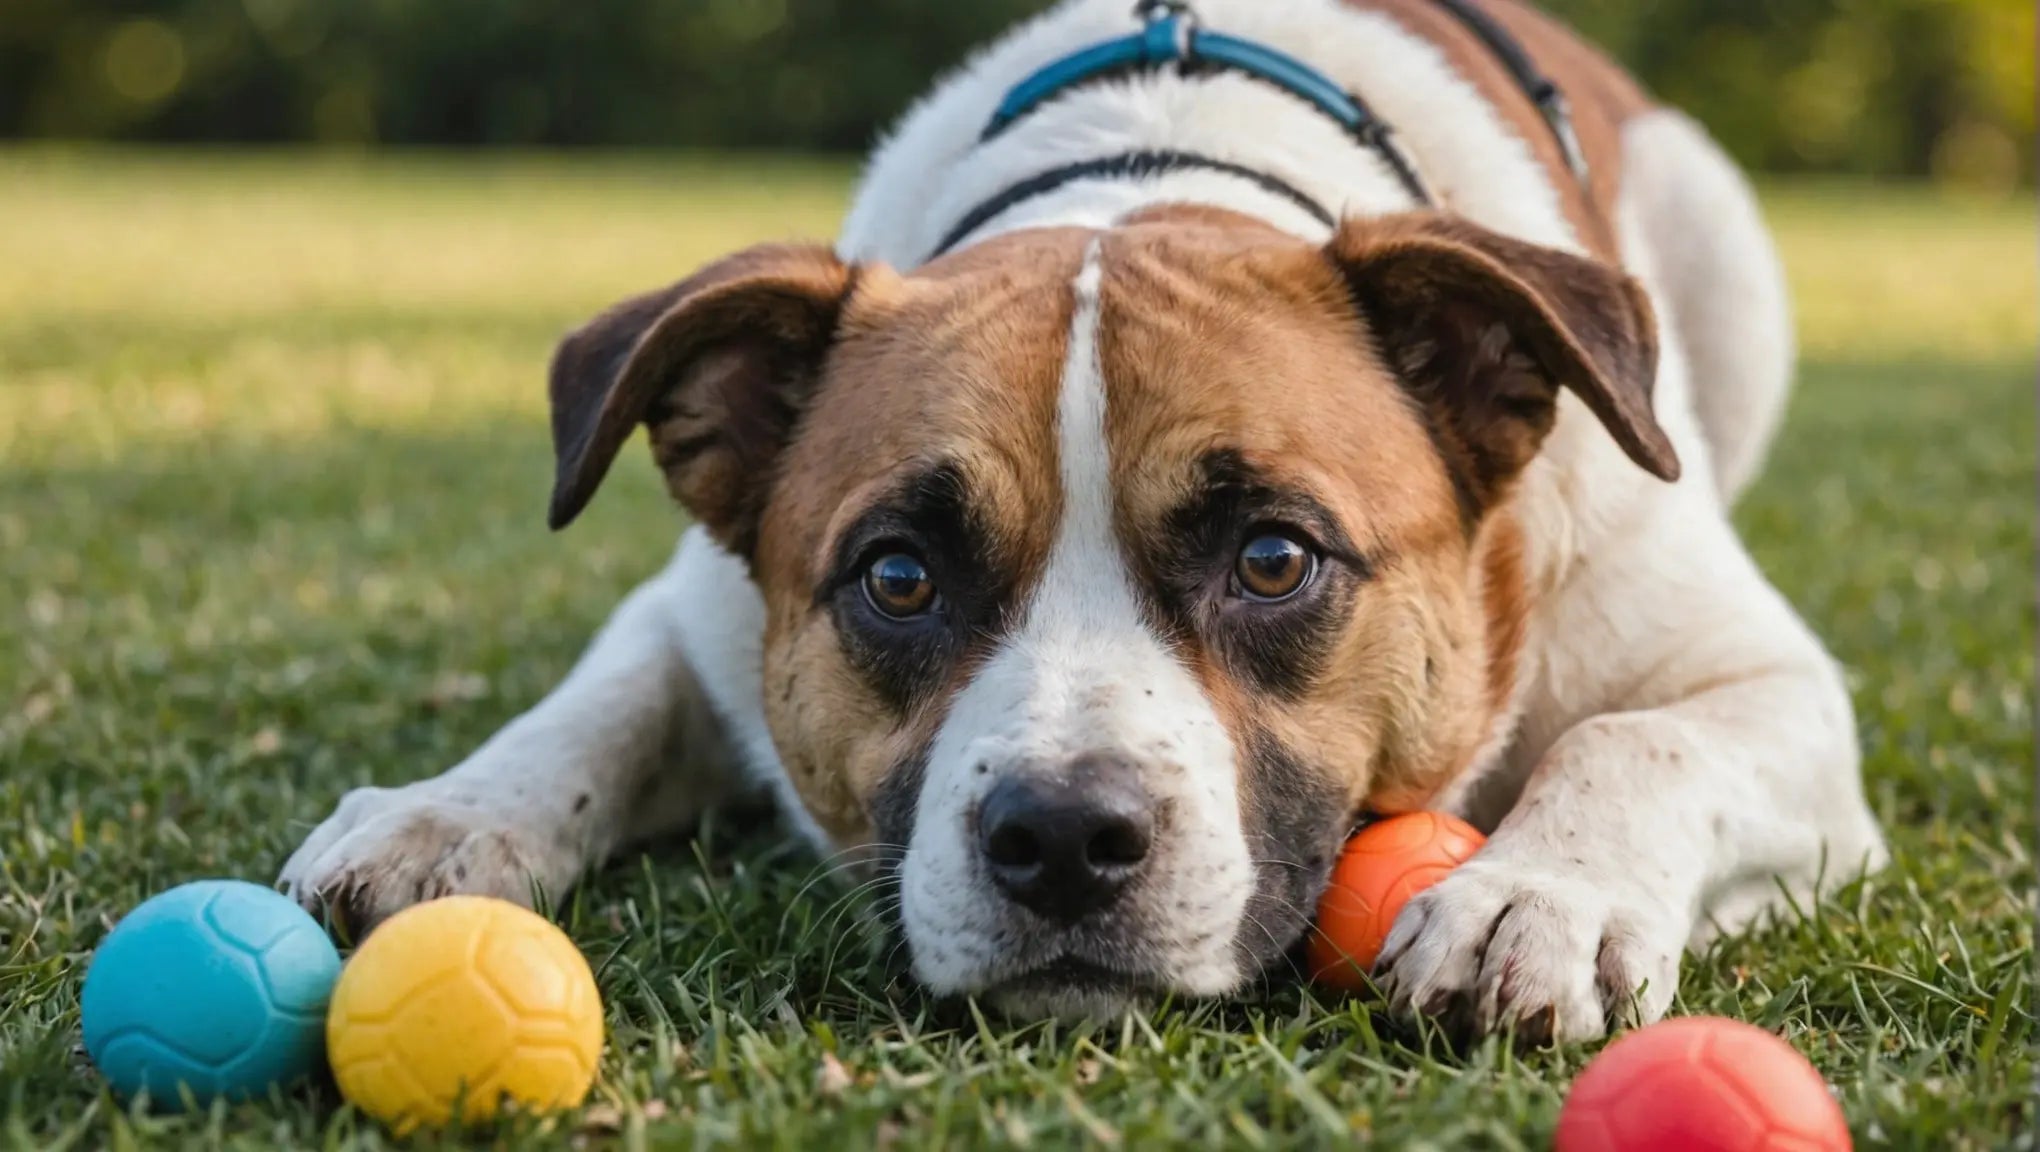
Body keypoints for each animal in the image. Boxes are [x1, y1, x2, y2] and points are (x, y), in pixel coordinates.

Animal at [279, 0, 1884, 1043]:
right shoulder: (699, 610)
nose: (1059, 839)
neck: (1153, 169)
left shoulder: (1774, 690)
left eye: (1274, 559)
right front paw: (448, 813)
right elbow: (599, 705)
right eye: (899, 577)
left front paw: (1539, 897)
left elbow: (1641, 737)